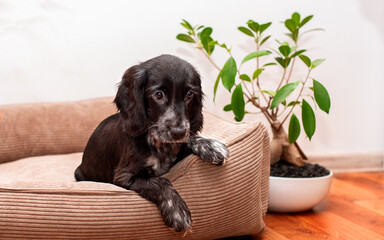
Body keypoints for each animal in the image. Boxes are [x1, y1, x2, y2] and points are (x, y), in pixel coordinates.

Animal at [75, 54, 228, 232]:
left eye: (189, 94)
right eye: (159, 95)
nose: (178, 132)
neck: (159, 145)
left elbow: (188, 140)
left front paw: (210, 146)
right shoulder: (124, 177)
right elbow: (159, 181)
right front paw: (177, 211)